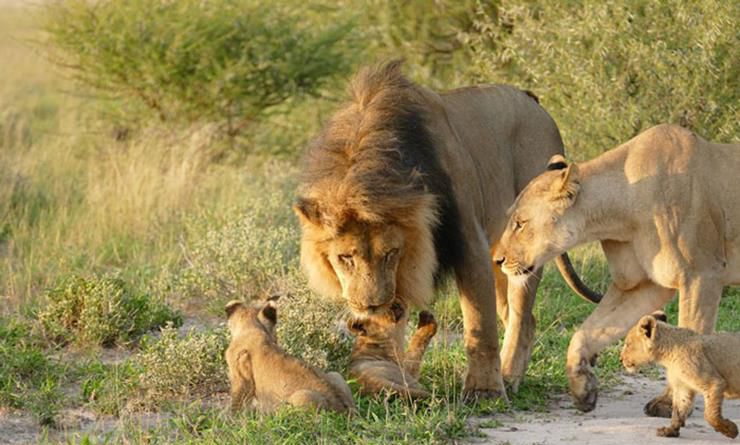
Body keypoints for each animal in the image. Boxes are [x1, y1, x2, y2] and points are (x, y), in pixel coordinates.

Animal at [224, 298, 354, 412]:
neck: (253, 328)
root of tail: (348, 412)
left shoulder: (240, 378)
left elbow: (236, 402)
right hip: (336, 375)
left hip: (301, 398)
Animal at [292, 59, 600, 398]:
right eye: (345, 258)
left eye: (392, 253)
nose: (371, 304)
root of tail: (532, 99)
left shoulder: (469, 241)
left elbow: (479, 324)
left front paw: (483, 392)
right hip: (502, 253)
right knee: (526, 318)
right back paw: (512, 379)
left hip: (527, 246)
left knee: (520, 316)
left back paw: (506, 378)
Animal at [492, 124, 740, 412]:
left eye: (520, 223)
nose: (497, 260)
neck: (619, 213)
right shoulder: (642, 285)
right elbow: (586, 332)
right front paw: (583, 388)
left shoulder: (702, 275)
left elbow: (687, 343)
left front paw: (670, 404)